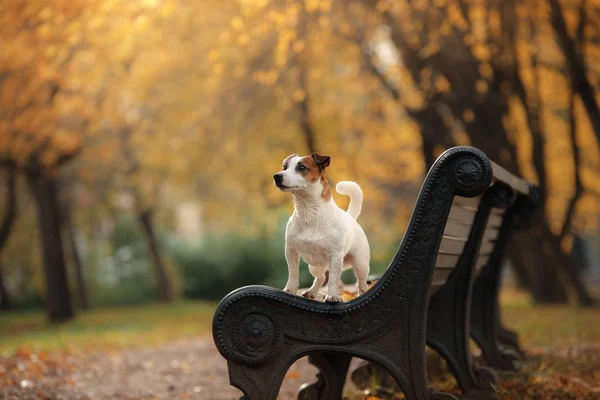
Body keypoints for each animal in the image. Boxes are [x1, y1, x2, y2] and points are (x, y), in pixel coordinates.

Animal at [274, 152, 368, 302]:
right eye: (285, 167)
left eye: (301, 167)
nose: (277, 176)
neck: (309, 212)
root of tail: (351, 217)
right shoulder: (291, 250)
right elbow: (293, 272)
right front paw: (290, 289)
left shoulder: (335, 257)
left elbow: (334, 279)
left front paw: (333, 296)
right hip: (315, 266)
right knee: (321, 277)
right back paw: (312, 292)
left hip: (361, 265)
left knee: (362, 284)